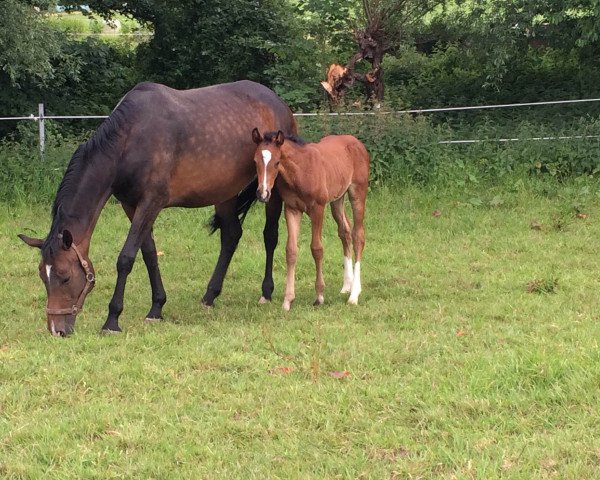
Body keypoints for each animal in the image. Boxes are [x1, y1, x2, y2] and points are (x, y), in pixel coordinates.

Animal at [19, 80, 298, 336]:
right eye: (43, 276)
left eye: (65, 276)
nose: (56, 330)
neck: (130, 140)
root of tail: (279, 103)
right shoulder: (131, 205)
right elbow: (149, 254)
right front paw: (156, 308)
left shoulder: (151, 202)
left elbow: (126, 258)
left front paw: (112, 320)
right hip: (224, 192)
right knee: (231, 235)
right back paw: (210, 295)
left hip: (271, 190)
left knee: (270, 236)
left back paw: (266, 292)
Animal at [251, 127, 368, 310]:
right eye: (255, 162)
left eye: (277, 162)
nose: (263, 193)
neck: (300, 171)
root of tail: (356, 141)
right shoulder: (292, 209)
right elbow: (291, 250)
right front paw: (287, 300)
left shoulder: (317, 209)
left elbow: (317, 249)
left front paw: (319, 296)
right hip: (337, 199)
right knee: (345, 232)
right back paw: (346, 286)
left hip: (358, 193)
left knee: (358, 236)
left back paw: (354, 294)